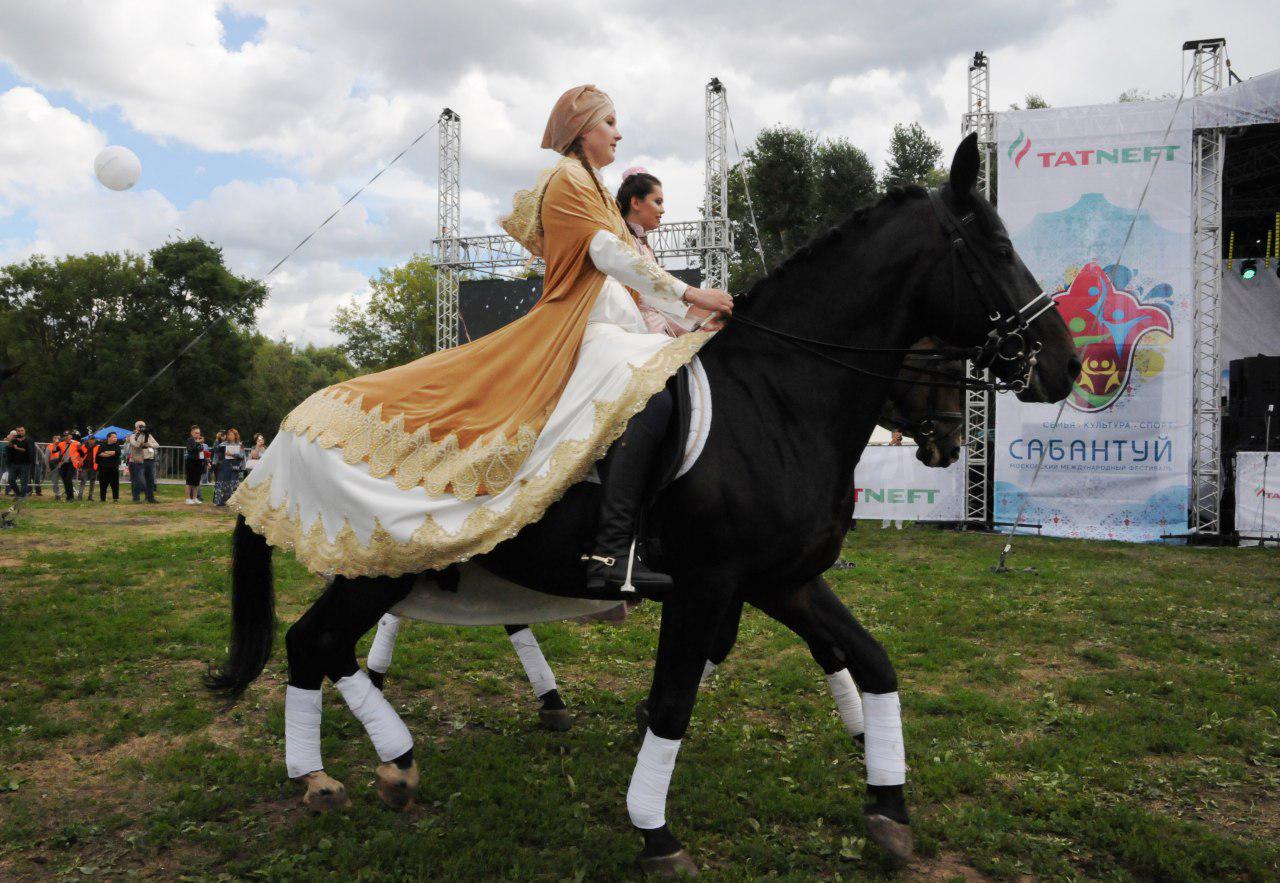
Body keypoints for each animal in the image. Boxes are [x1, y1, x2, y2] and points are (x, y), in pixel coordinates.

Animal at [207, 137, 1080, 875]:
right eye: (996, 247)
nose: (1066, 366)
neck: (778, 400)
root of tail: (290, 421)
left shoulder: (783, 579)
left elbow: (868, 661)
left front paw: (888, 803)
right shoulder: (709, 584)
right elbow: (674, 703)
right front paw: (655, 831)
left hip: (404, 559)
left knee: (319, 644)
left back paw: (350, 768)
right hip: (379, 559)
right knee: (316, 640)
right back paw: (359, 765)